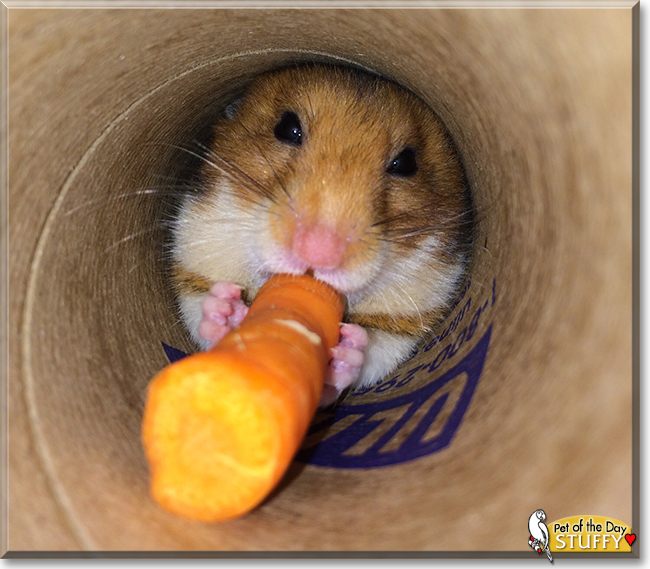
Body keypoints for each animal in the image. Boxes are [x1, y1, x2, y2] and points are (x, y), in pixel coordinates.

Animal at [168, 63, 470, 404]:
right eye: (287, 128)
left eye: (406, 163)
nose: (318, 252)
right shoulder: (191, 257)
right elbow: (200, 309)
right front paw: (227, 309)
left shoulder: (410, 319)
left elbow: (374, 351)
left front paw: (344, 352)